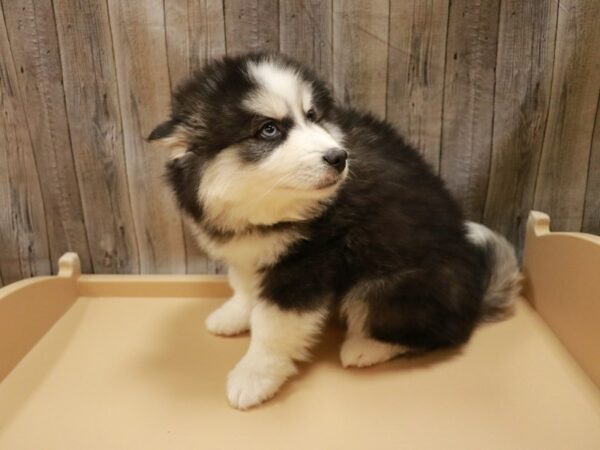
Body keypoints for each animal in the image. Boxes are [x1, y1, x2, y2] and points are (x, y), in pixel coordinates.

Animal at [149, 51, 520, 410]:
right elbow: (243, 286)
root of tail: (474, 299)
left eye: (312, 115)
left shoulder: (305, 266)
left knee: (440, 333)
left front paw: (253, 377)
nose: (338, 157)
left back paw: (366, 347)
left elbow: (271, 328)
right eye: (268, 130)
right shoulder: (251, 251)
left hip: (387, 287)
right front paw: (234, 315)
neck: (264, 207)